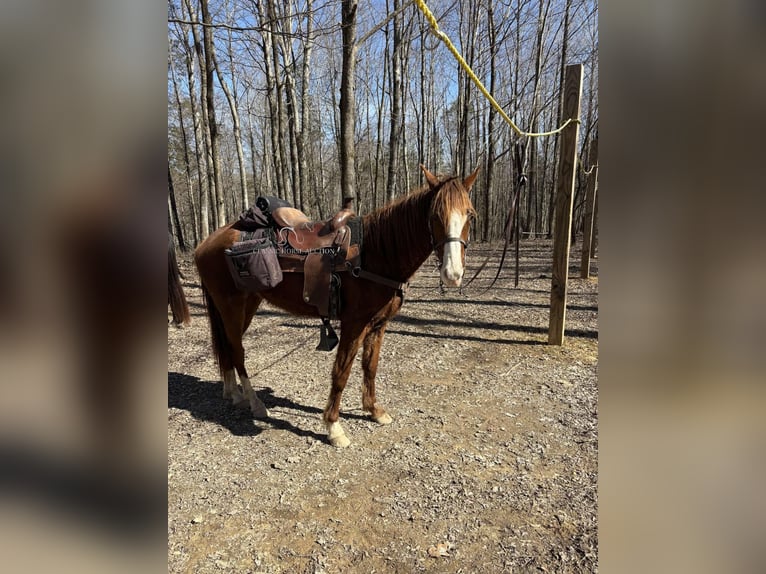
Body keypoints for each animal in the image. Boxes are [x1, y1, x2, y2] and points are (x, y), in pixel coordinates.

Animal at [195, 164, 476, 448]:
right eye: (435, 216)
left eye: (470, 215)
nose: (453, 274)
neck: (375, 254)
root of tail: (205, 243)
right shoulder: (354, 324)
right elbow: (342, 371)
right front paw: (334, 427)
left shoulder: (378, 325)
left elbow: (370, 367)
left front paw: (374, 410)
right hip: (230, 305)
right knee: (237, 350)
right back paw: (255, 403)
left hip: (246, 304)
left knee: (229, 345)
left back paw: (233, 393)